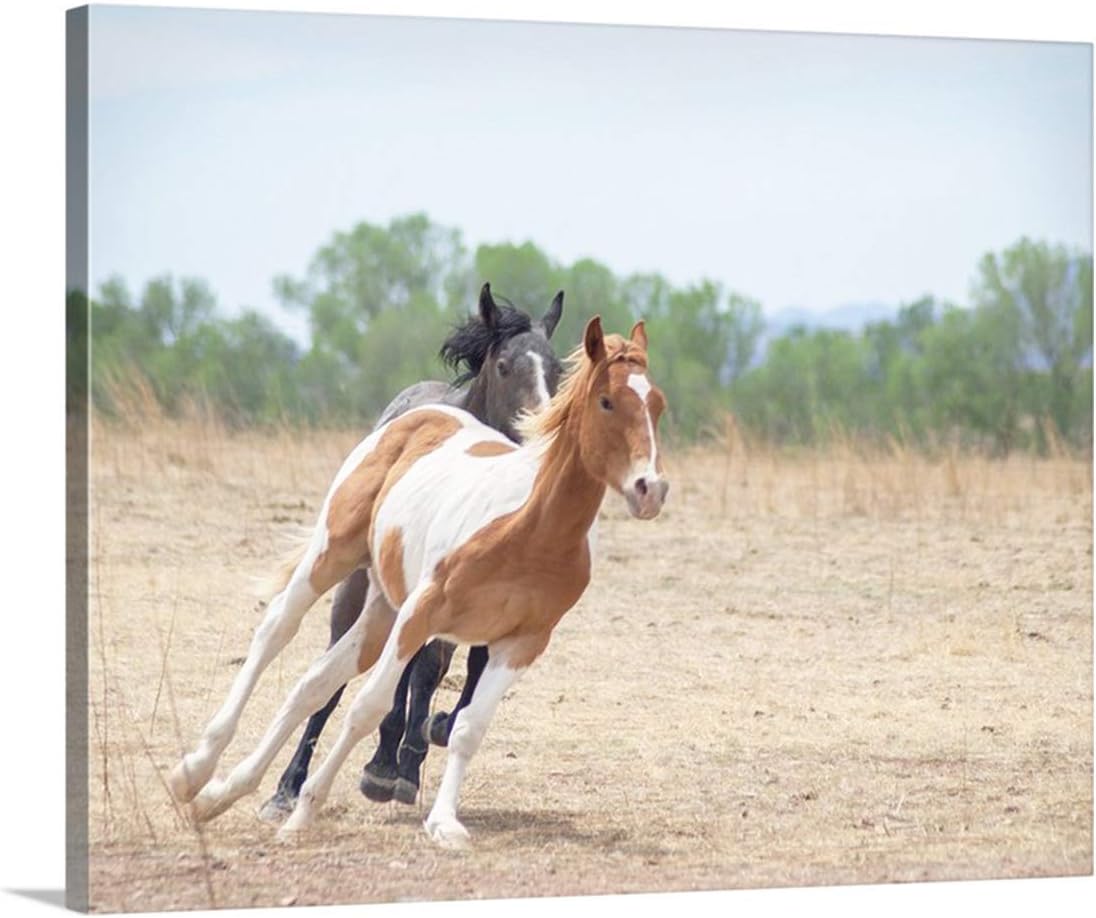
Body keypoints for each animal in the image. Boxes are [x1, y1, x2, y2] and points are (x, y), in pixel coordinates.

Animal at [169, 316, 668, 849]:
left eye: (656, 404)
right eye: (606, 401)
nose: (650, 490)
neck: (531, 532)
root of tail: (422, 413)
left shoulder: (522, 642)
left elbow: (467, 728)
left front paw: (444, 822)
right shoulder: (423, 614)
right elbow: (368, 707)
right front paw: (306, 811)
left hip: (383, 610)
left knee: (315, 682)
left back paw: (222, 793)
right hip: (336, 558)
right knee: (276, 631)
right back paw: (195, 771)